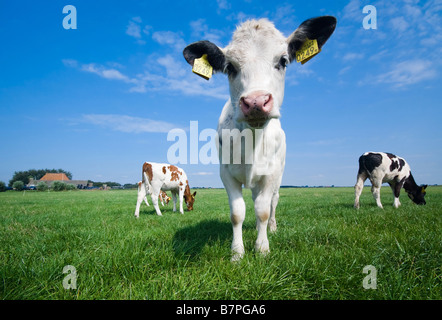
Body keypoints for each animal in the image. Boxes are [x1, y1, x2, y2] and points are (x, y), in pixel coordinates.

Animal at [185, 16, 336, 260]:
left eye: (283, 61)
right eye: (230, 67)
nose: (256, 102)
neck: (251, 141)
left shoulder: (271, 174)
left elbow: (264, 210)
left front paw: (262, 247)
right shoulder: (226, 173)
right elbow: (237, 212)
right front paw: (237, 252)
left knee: (272, 201)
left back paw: (270, 229)